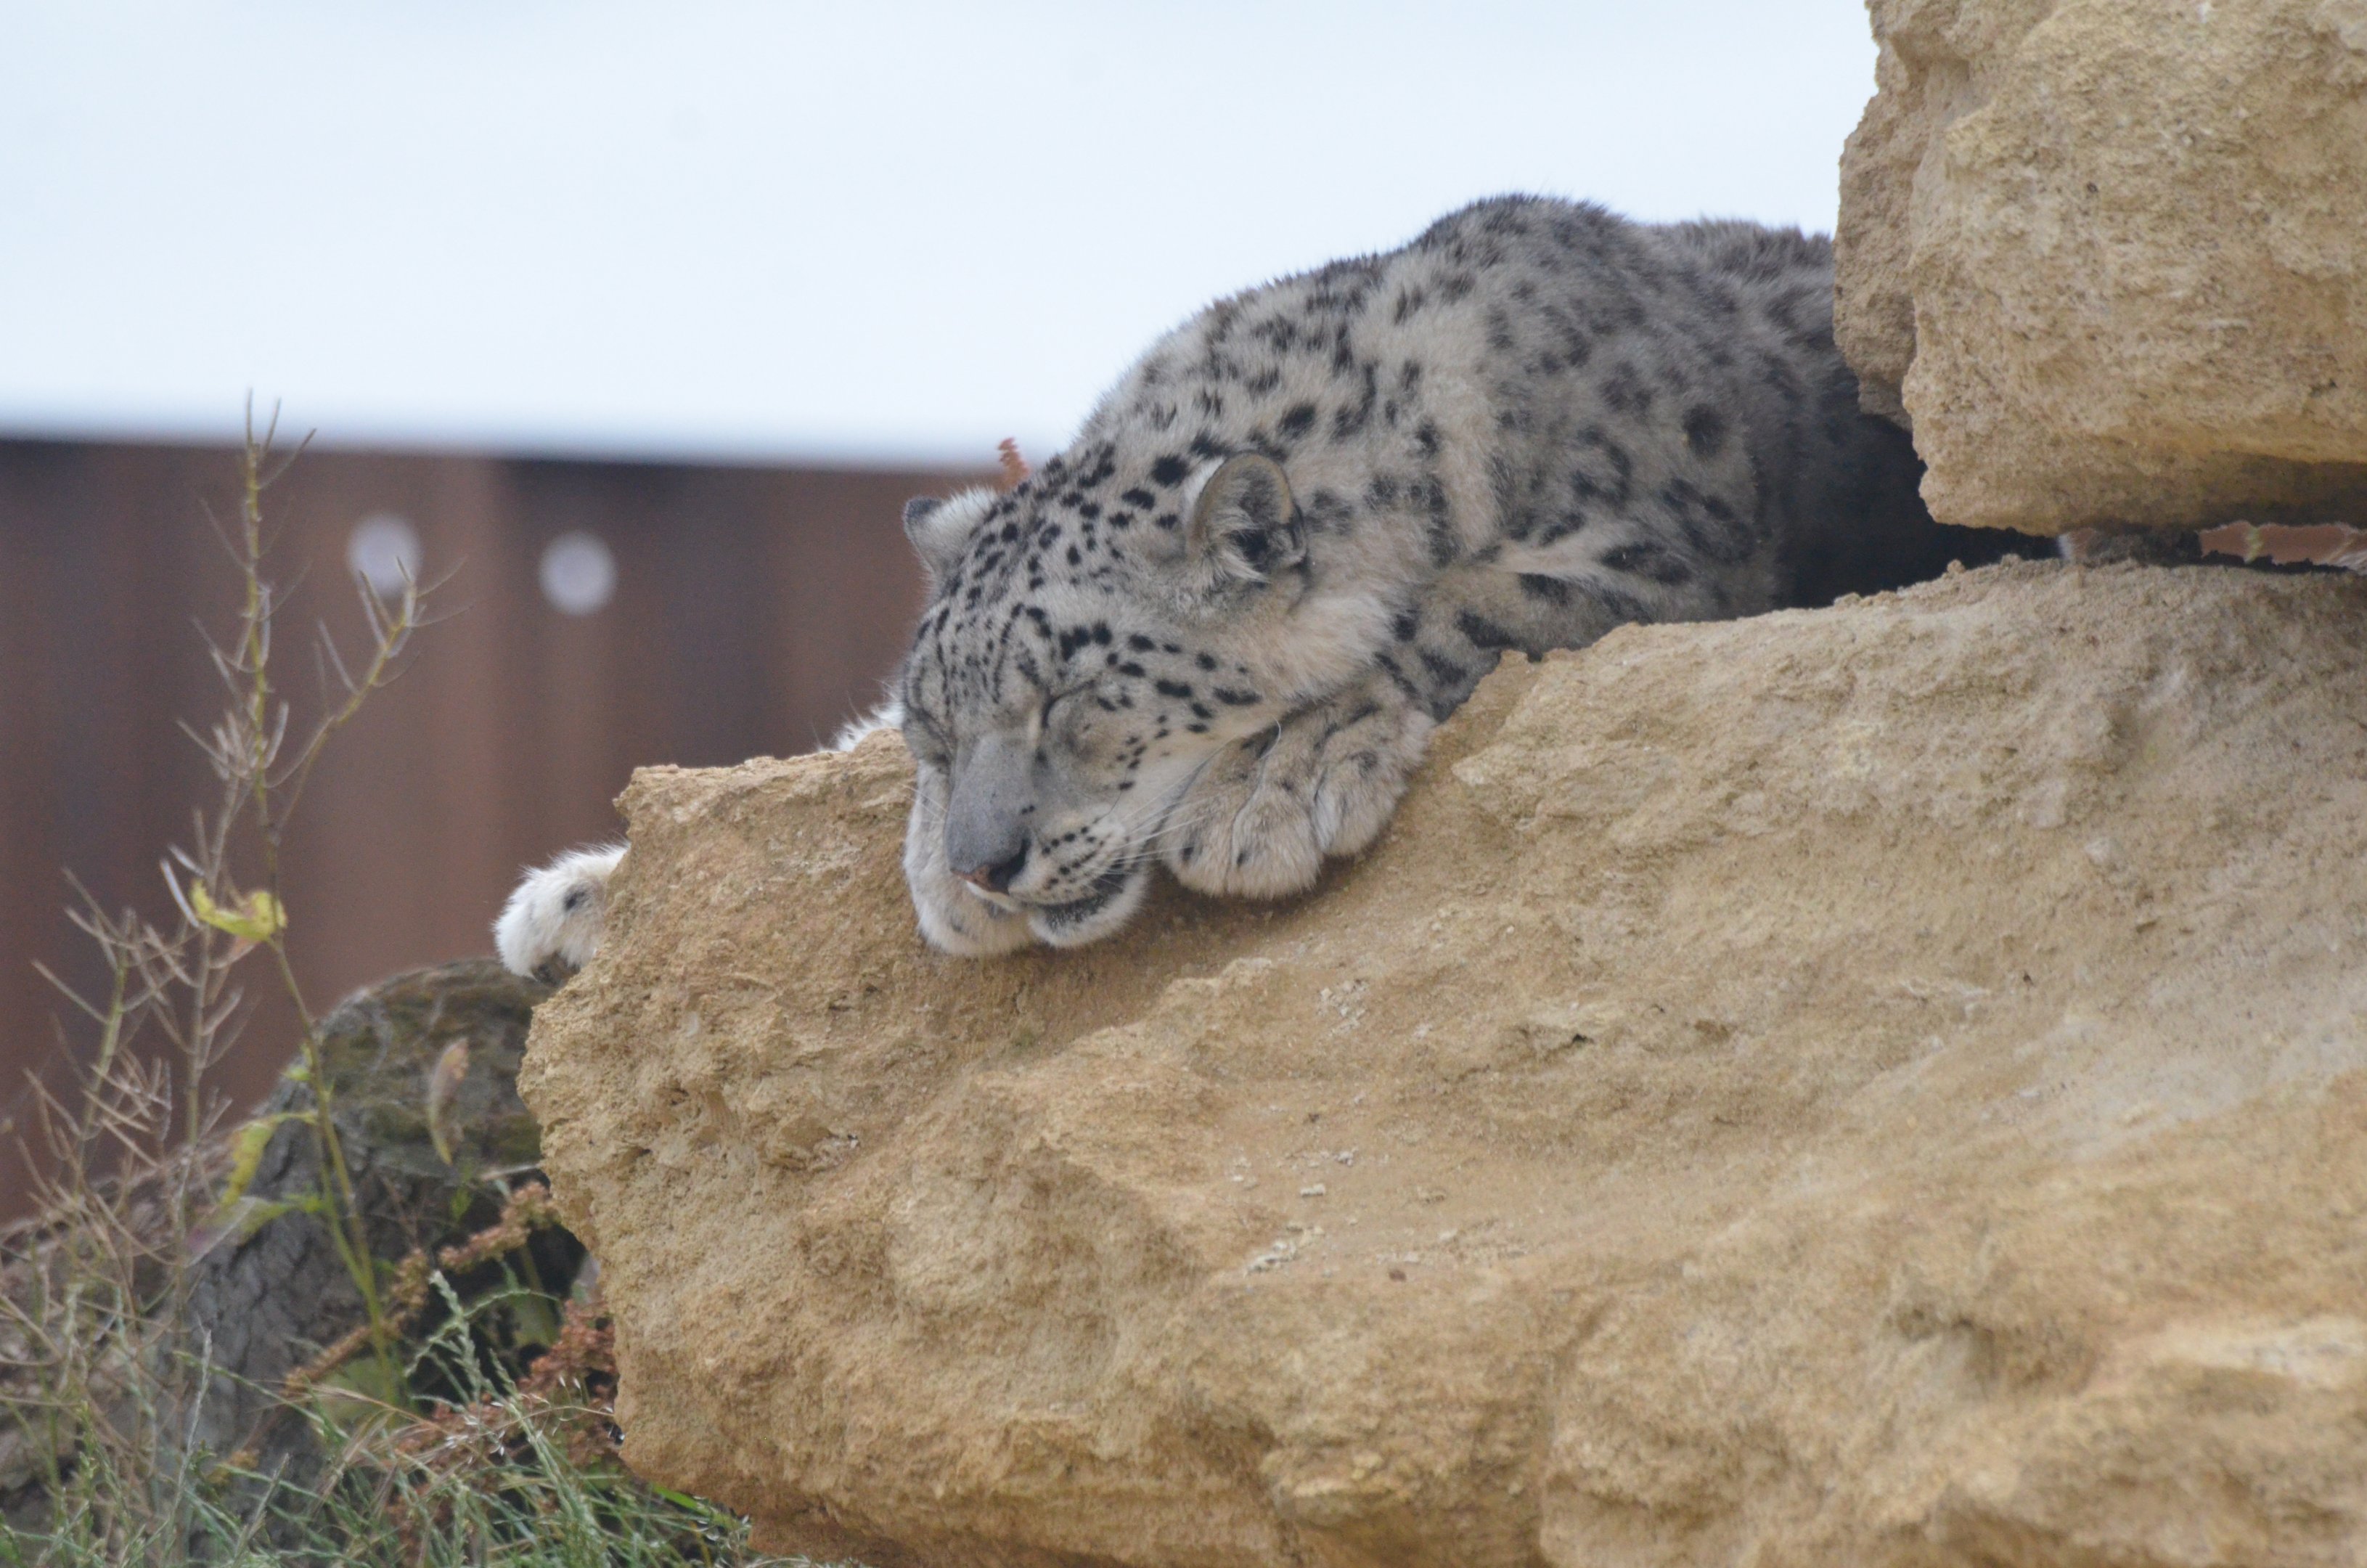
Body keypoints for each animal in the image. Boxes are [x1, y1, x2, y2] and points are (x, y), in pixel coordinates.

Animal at [496, 194, 2006, 979]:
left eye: (1076, 703)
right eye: (935, 730)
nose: (989, 863)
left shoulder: (1675, 557)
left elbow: (1461, 601)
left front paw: (1275, 782)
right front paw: (577, 894)